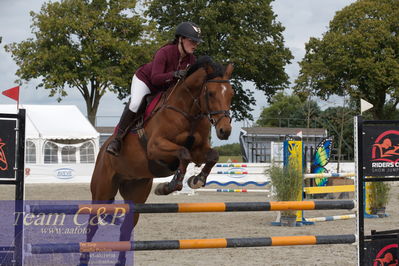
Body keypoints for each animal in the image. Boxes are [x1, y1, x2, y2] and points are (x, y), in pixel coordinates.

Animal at [78, 55, 234, 264]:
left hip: (136, 192)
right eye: (210, 93)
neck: (188, 110)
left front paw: (197, 179)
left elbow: (211, 156)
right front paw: (172, 184)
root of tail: (103, 149)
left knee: (126, 229)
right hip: (102, 190)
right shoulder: (155, 147)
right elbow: (183, 153)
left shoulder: (199, 151)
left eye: (231, 94)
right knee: (92, 225)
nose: (225, 131)